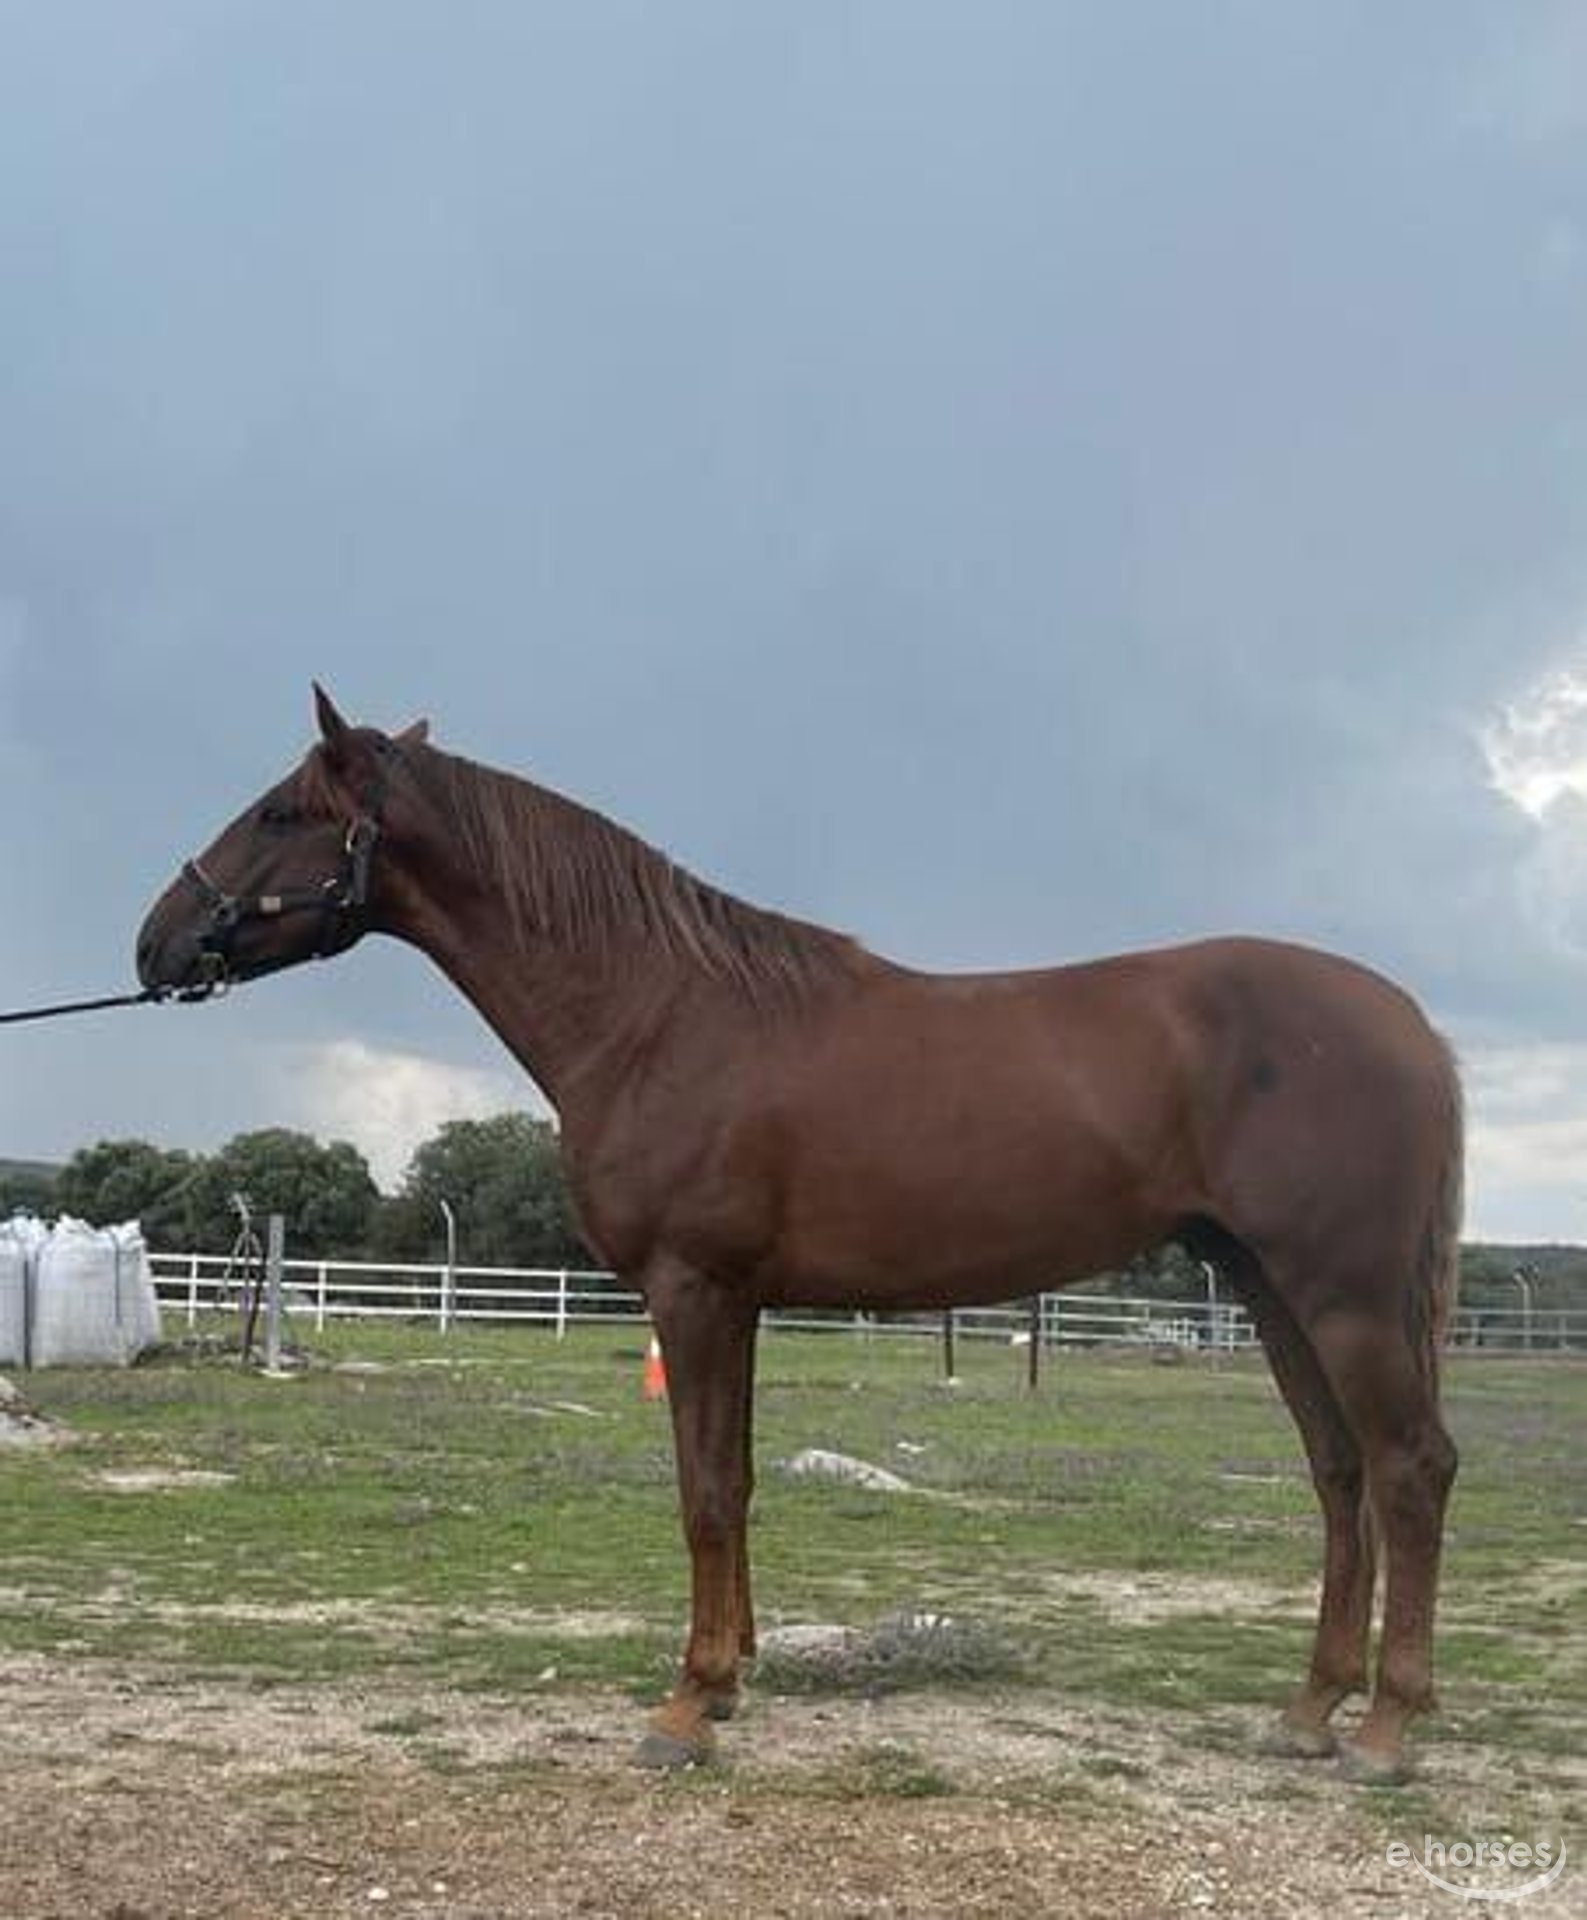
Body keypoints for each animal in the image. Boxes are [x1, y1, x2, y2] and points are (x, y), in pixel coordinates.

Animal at [140, 683, 1466, 1774]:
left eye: (276, 812)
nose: (154, 943)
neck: (659, 1015)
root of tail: (1408, 1021)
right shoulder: (739, 1302)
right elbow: (734, 1484)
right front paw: (727, 1683)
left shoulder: (693, 1290)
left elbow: (702, 1494)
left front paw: (686, 1709)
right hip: (1271, 1291)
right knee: (1339, 1473)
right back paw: (1310, 1713)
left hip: (1341, 1296)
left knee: (1409, 1469)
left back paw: (1385, 1732)